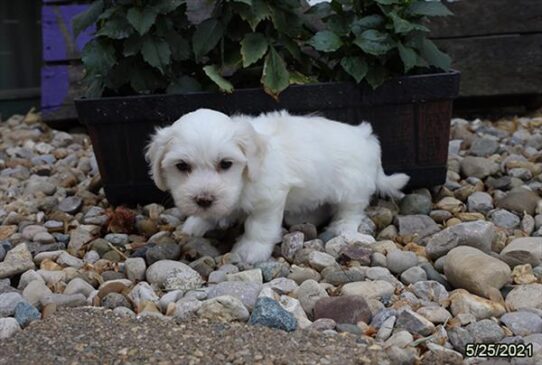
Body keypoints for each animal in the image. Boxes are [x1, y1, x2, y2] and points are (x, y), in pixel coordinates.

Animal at [147, 107, 410, 262]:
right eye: (182, 166)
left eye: (226, 164)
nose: (203, 200)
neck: (244, 178)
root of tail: (367, 138)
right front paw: (198, 222)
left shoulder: (269, 198)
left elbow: (258, 226)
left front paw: (251, 250)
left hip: (351, 187)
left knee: (351, 210)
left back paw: (341, 227)